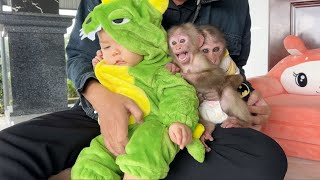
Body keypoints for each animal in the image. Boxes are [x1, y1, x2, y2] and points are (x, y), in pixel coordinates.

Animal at [166, 22, 254, 152]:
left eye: (182, 40)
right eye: (174, 43)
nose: (177, 47)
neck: (187, 63)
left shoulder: (200, 59)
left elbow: (216, 74)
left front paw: (187, 75)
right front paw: (172, 67)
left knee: (227, 92)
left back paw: (244, 122)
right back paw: (207, 129)